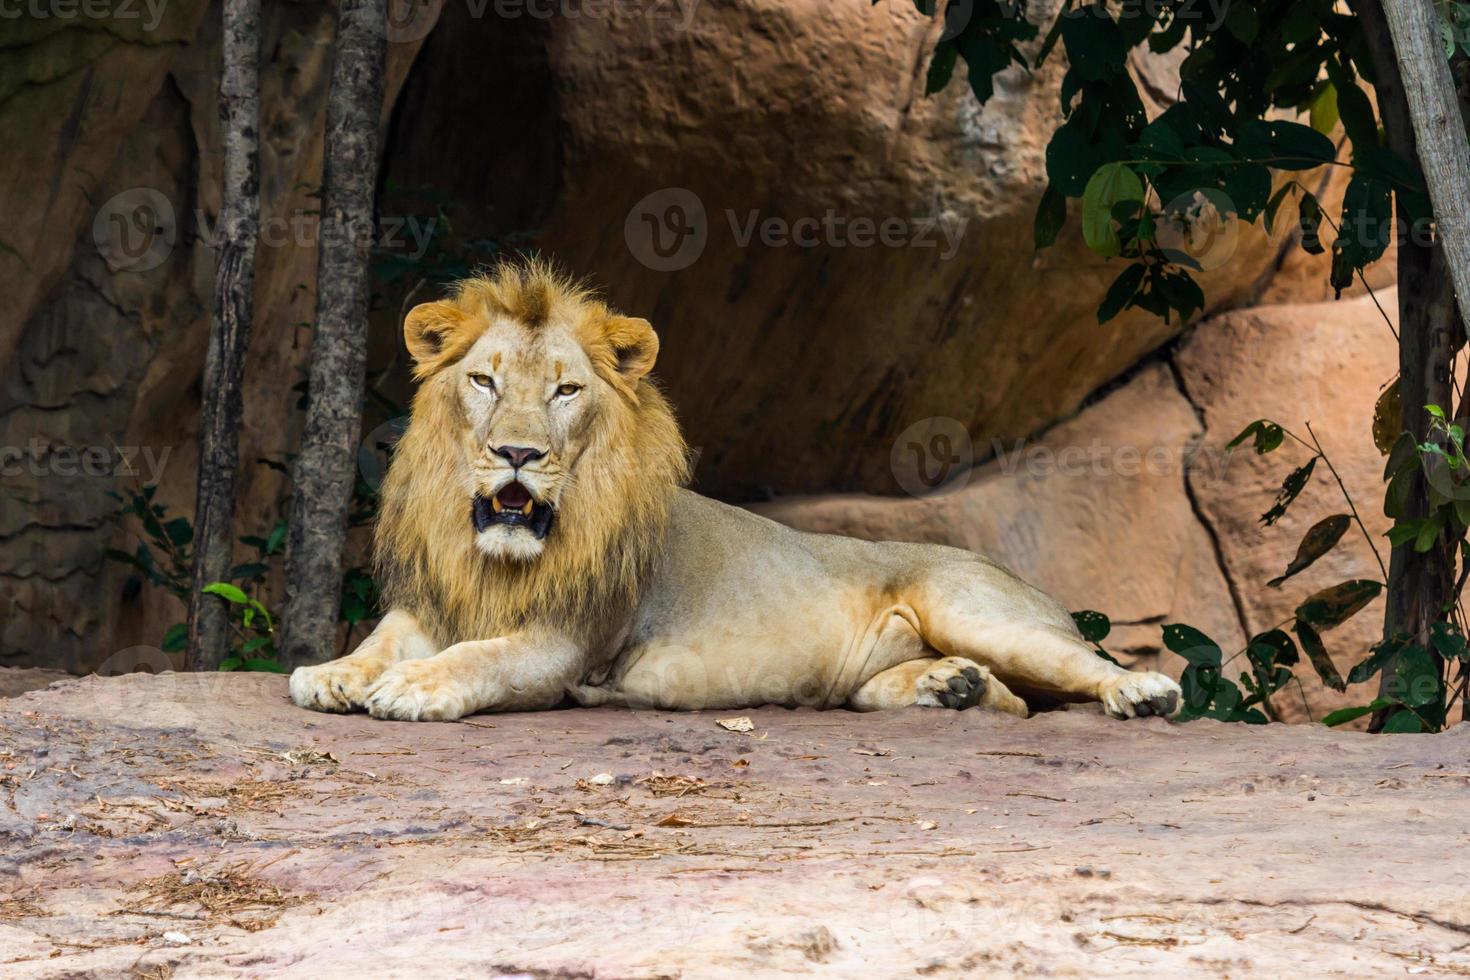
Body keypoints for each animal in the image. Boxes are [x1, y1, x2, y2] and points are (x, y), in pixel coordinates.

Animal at [286, 264, 1181, 725]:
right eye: (484, 381)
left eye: (566, 391)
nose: (516, 453)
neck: (497, 553)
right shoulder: (430, 604)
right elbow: (376, 642)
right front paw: (332, 674)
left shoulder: (566, 641)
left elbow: (482, 656)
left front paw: (412, 688)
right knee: (1012, 704)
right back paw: (949, 688)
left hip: (976, 607)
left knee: (1078, 667)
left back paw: (1140, 691)